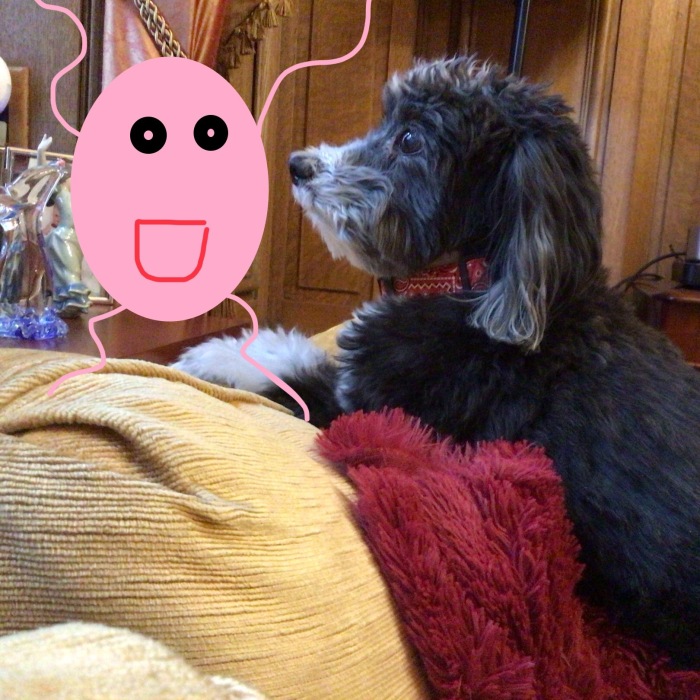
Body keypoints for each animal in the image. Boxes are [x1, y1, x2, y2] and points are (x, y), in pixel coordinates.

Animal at [173, 57, 700, 666]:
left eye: (410, 139)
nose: (297, 165)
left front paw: (211, 353)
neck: (470, 280)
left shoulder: (370, 404)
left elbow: (294, 363)